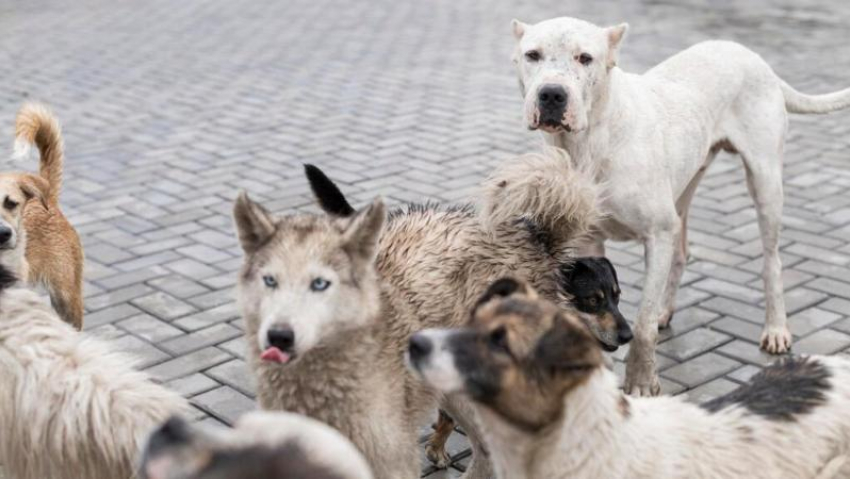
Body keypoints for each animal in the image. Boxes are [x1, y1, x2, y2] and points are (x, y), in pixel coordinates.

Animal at [506, 16, 848, 396]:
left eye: (585, 58)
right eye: (532, 55)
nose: (552, 94)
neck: (590, 143)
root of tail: (754, 57)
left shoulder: (657, 234)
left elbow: (641, 326)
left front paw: (641, 382)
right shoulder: (590, 241)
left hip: (765, 182)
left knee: (771, 261)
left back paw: (775, 328)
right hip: (684, 189)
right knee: (681, 253)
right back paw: (665, 309)